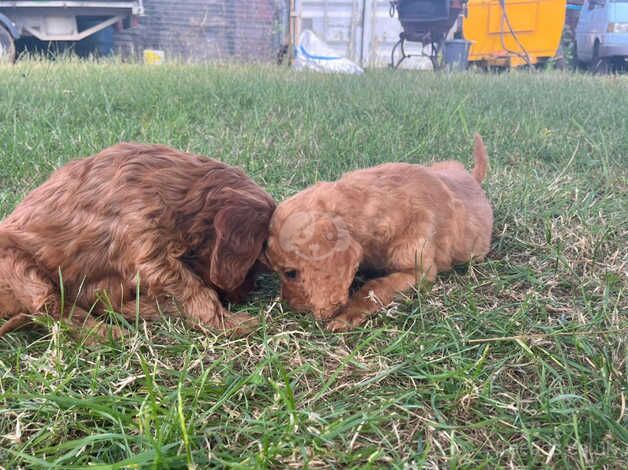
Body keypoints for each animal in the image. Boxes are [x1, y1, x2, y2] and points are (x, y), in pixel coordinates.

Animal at [264, 134, 490, 330]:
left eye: (290, 273)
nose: (288, 304)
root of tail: (473, 178)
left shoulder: (420, 271)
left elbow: (377, 286)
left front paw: (347, 314)